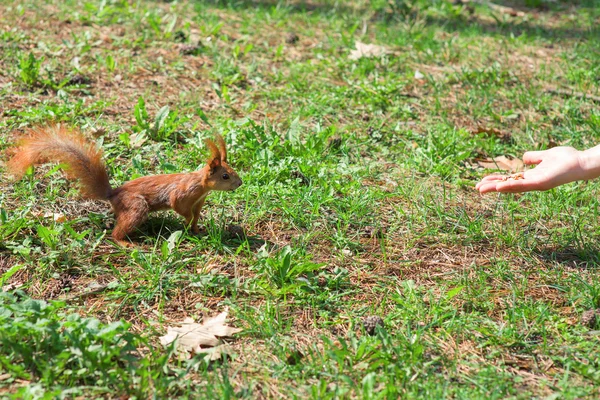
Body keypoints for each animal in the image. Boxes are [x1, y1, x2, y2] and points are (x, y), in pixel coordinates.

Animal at [5, 125, 243, 245]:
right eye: (225, 176)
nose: (240, 183)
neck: (201, 185)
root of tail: (113, 195)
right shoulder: (184, 193)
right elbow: (179, 206)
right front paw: (185, 224)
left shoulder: (198, 201)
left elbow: (195, 216)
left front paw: (196, 230)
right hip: (136, 207)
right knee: (117, 233)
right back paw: (126, 243)